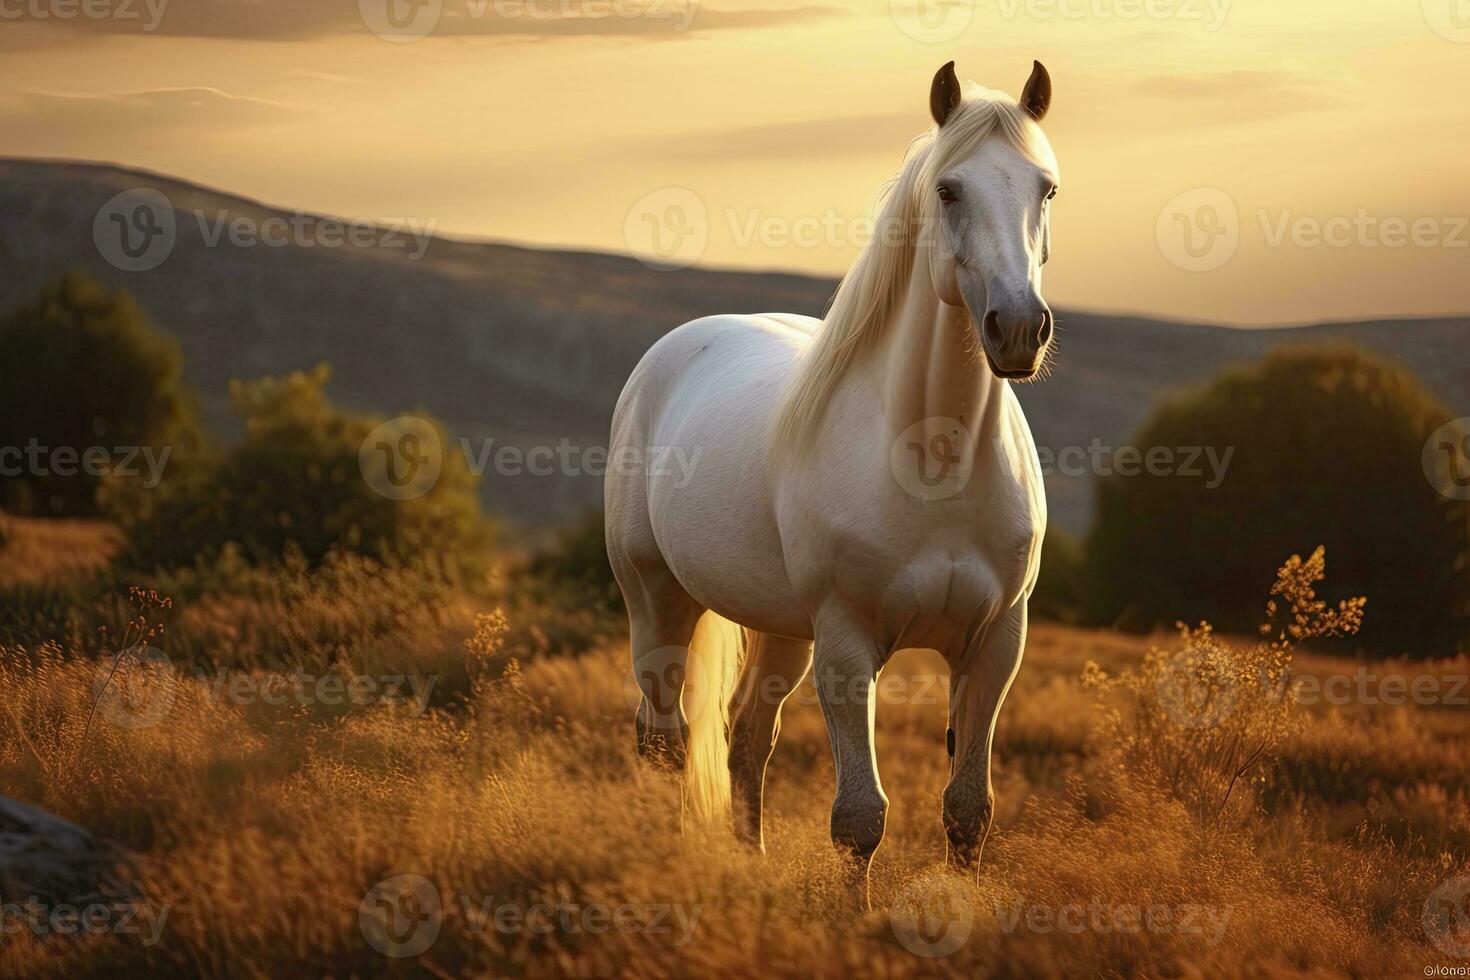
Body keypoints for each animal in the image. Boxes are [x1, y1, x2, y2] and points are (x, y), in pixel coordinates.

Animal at [605, 61, 1058, 887]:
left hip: (782, 628)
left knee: (746, 738)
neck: (934, 464)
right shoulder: (848, 648)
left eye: (1045, 188)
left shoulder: (995, 645)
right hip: (657, 603)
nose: (1017, 329)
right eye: (949, 189)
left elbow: (968, 811)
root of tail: (670, 353)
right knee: (662, 738)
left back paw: (748, 860)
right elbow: (858, 819)